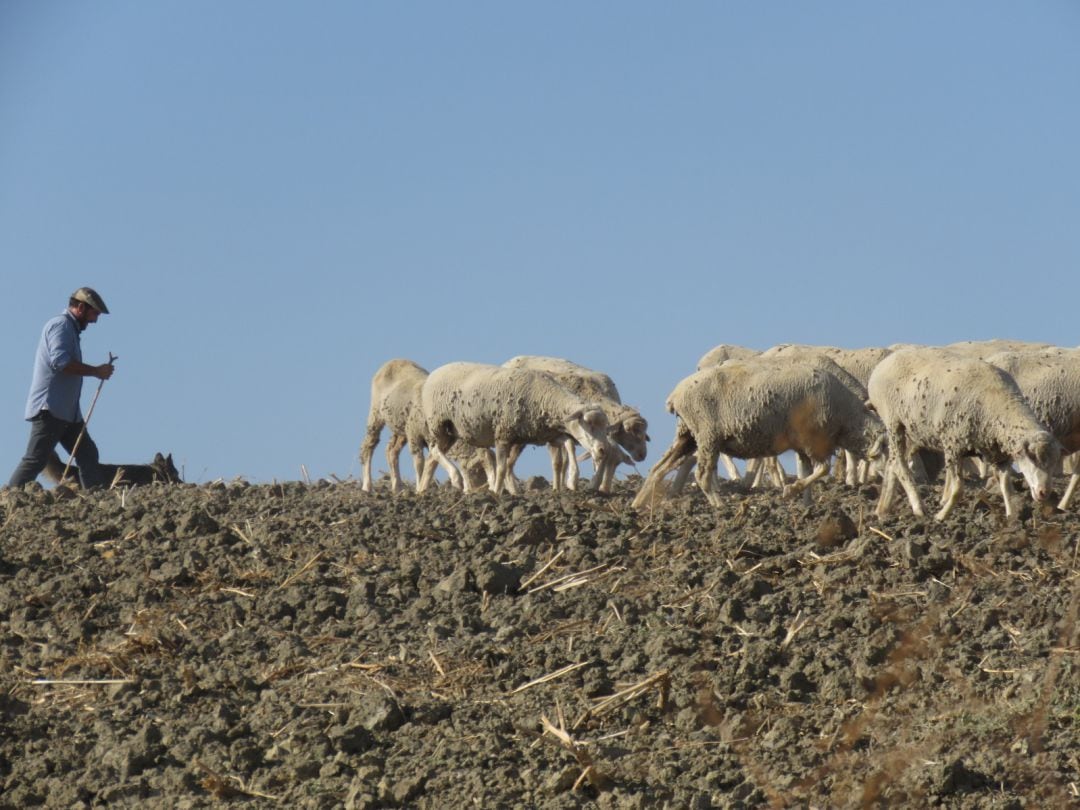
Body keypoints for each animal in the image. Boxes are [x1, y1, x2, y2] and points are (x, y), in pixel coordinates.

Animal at [416, 360, 613, 494]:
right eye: (589, 424)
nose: (603, 449)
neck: (547, 398)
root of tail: (435, 372)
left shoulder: (546, 434)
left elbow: (568, 446)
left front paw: (572, 479)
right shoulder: (503, 434)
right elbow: (502, 468)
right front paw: (496, 492)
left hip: (450, 431)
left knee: (431, 459)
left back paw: (422, 491)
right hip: (439, 423)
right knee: (434, 451)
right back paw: (455, 478)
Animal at [498, 356, 648, 494]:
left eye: (618, 464)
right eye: (629, 429)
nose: (643, 455)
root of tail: (511, 360)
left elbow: (566, 462)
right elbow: (560, 461)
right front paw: (569, 483)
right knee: (509, 461)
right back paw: (511, 488)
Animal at [630, 358, 885, 509]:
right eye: (886, 450)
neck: (846, 416)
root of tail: (675, 395)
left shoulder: (803, 446)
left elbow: (808, 473)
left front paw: (807, 505)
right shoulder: (812, 441)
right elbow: (822, 469)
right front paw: (790, 491)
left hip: (688, 435)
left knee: (659, 468)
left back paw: (638, 504)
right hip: (707, 434)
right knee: (701, 475)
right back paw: (720, 506)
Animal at [864, 347, 1058, 522]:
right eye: (1032, 457)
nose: (1044, 493)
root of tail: (885, 362)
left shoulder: (998, 455)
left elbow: (1006, 487)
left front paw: (1012, 518)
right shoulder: (954, 444)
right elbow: (958, 489)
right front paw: (941, 516)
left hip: (910, 429)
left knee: (891, 463)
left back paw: (882, 510)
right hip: (893, 421)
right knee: (900, 465)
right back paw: (918, 507)